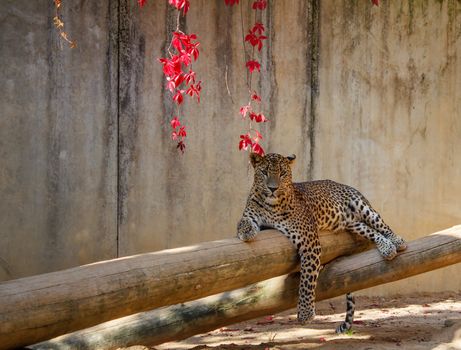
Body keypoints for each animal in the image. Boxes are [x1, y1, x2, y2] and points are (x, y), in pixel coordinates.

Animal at [237, 152, 406, 332]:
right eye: (264, 172)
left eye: (282, 173)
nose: (272, 188)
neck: (272, 206)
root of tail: (339, 183)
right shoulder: (252, 215)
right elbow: (244, 220)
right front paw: (246, 231)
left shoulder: (310, 242)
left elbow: (307, 280)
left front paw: (305, 314)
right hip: (355, 224)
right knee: (372, 231)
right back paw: (387, 247)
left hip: (362, 206)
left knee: (381, 224)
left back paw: (397, 241)